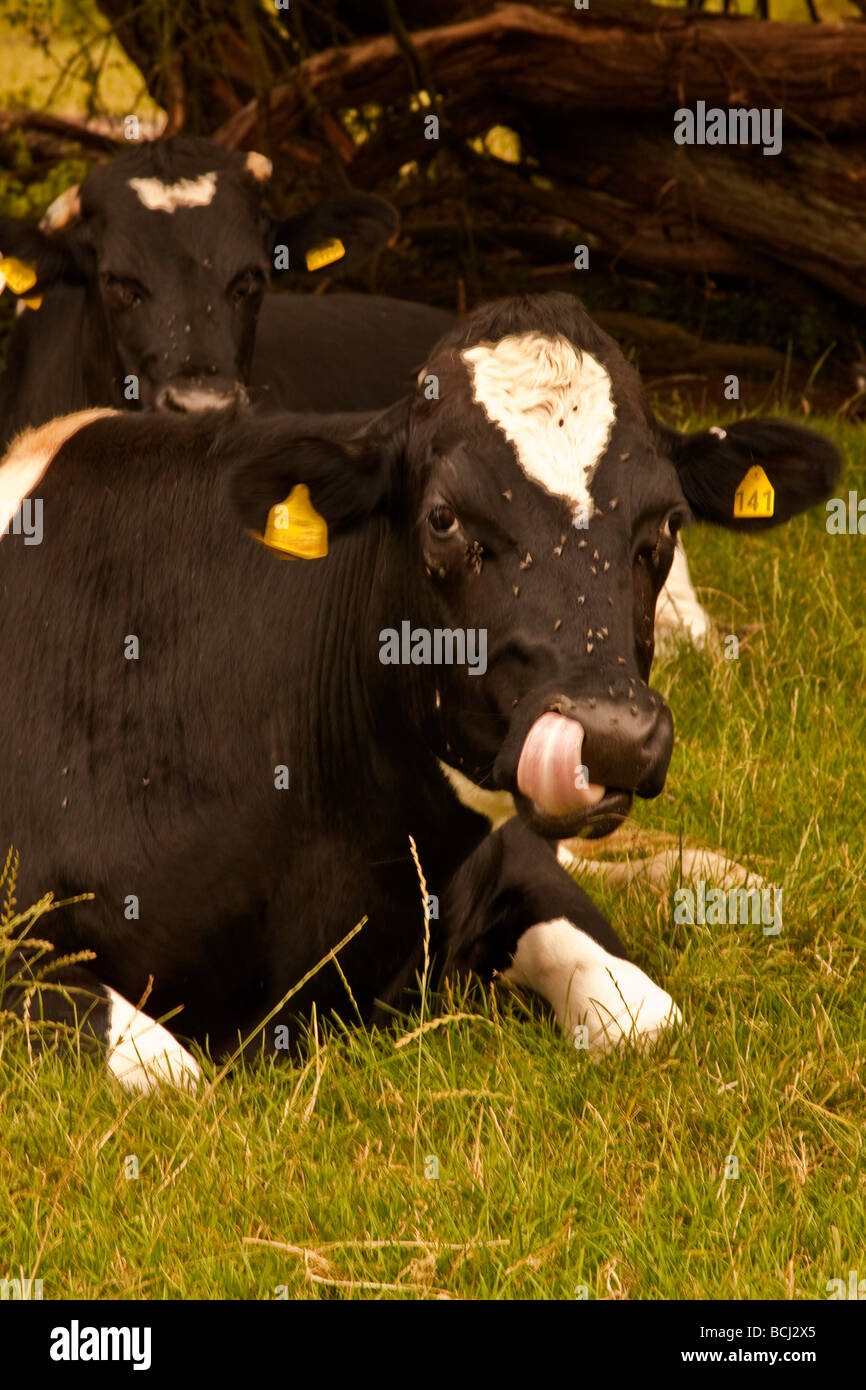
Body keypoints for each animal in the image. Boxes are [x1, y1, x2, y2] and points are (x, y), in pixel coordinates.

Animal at [1, 292, 838, 1090]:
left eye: (668, 523)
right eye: (442, 518)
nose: (612, 736)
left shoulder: (511, 852)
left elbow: (646, 1022)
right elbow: (166, 1072)